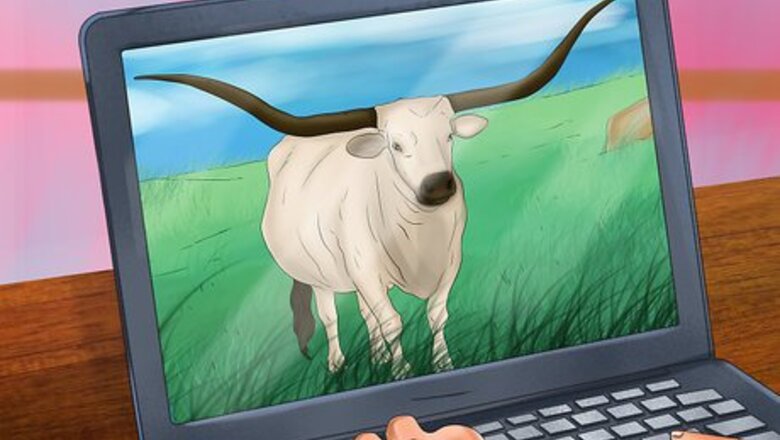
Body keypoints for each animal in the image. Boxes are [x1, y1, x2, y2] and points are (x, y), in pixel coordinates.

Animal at [138, 0, 614, 376]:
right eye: (395, 144)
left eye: (449, 136)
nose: (438, 185)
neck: (420, 235)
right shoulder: (365, 268)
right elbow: (391, 322)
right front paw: (403, 372)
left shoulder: (449, 262)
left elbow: (436, 314)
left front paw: (442, 364)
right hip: (321, 275)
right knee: (332, 316)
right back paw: (339, 363)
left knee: (367, 317)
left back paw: (376, 358)